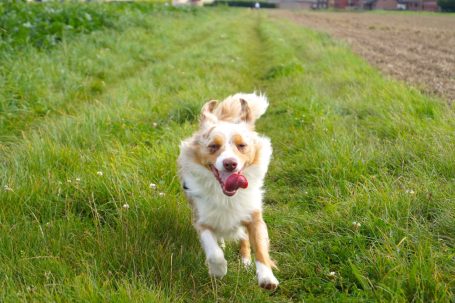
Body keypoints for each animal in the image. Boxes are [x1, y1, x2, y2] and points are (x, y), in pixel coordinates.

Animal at [177, 93, 278, 292]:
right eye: (213, 146)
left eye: (242, 145)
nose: (230, 163)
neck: (226, 196)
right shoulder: (201, 218)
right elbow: (213, 250)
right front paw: (219, 270)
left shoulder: (253, 215)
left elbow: (260, 247)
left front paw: (266, 277)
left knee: (244, 238)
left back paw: (245, 262)